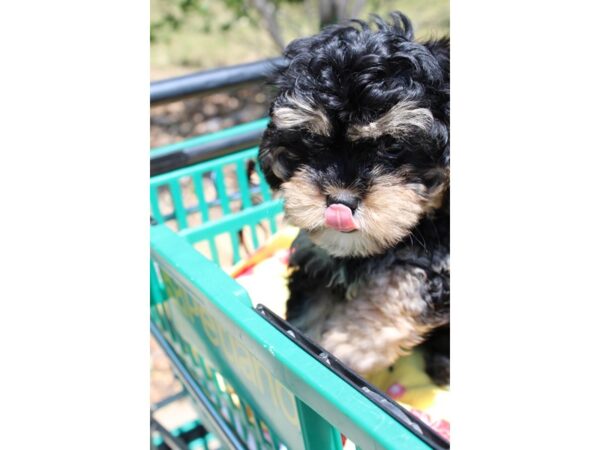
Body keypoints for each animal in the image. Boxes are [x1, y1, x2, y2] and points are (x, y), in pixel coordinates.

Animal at [258, 12, 450, 384]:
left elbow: (399, 285)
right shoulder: (316, 258)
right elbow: (309, 306)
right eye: (312, 139)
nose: (340, 202)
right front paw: (306, 343)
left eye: (391, 144)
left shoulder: (441, 259)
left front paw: (347, 345)